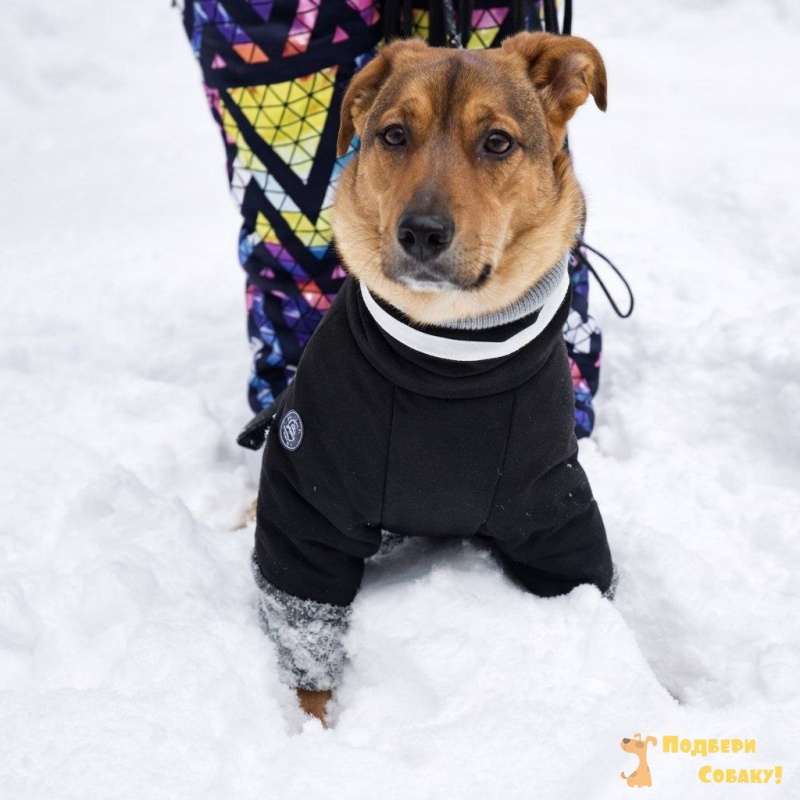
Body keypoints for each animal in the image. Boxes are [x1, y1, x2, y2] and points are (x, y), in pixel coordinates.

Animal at [251, 32, 614, 725]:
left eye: (497, 142)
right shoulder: (306, 503)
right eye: (394, 135)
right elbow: (306, 637)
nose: (420, 232)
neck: (449, 359)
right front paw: (312, 731)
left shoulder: (554, 508)